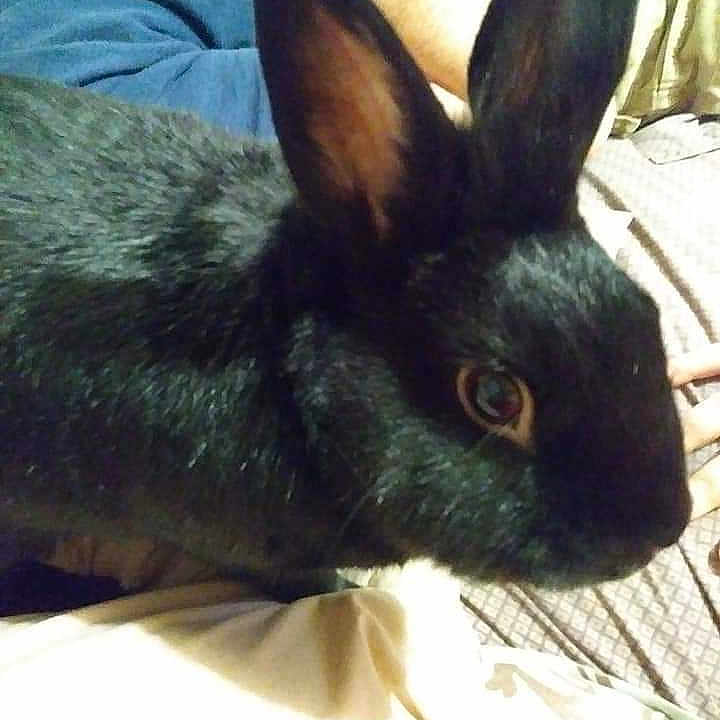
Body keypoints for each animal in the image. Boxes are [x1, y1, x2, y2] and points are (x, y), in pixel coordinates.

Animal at [0, 0, 691, 603]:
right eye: (495, 398)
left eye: (646, 313)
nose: (664, 530)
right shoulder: (257, 552)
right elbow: (299, 583)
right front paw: (344, 597)